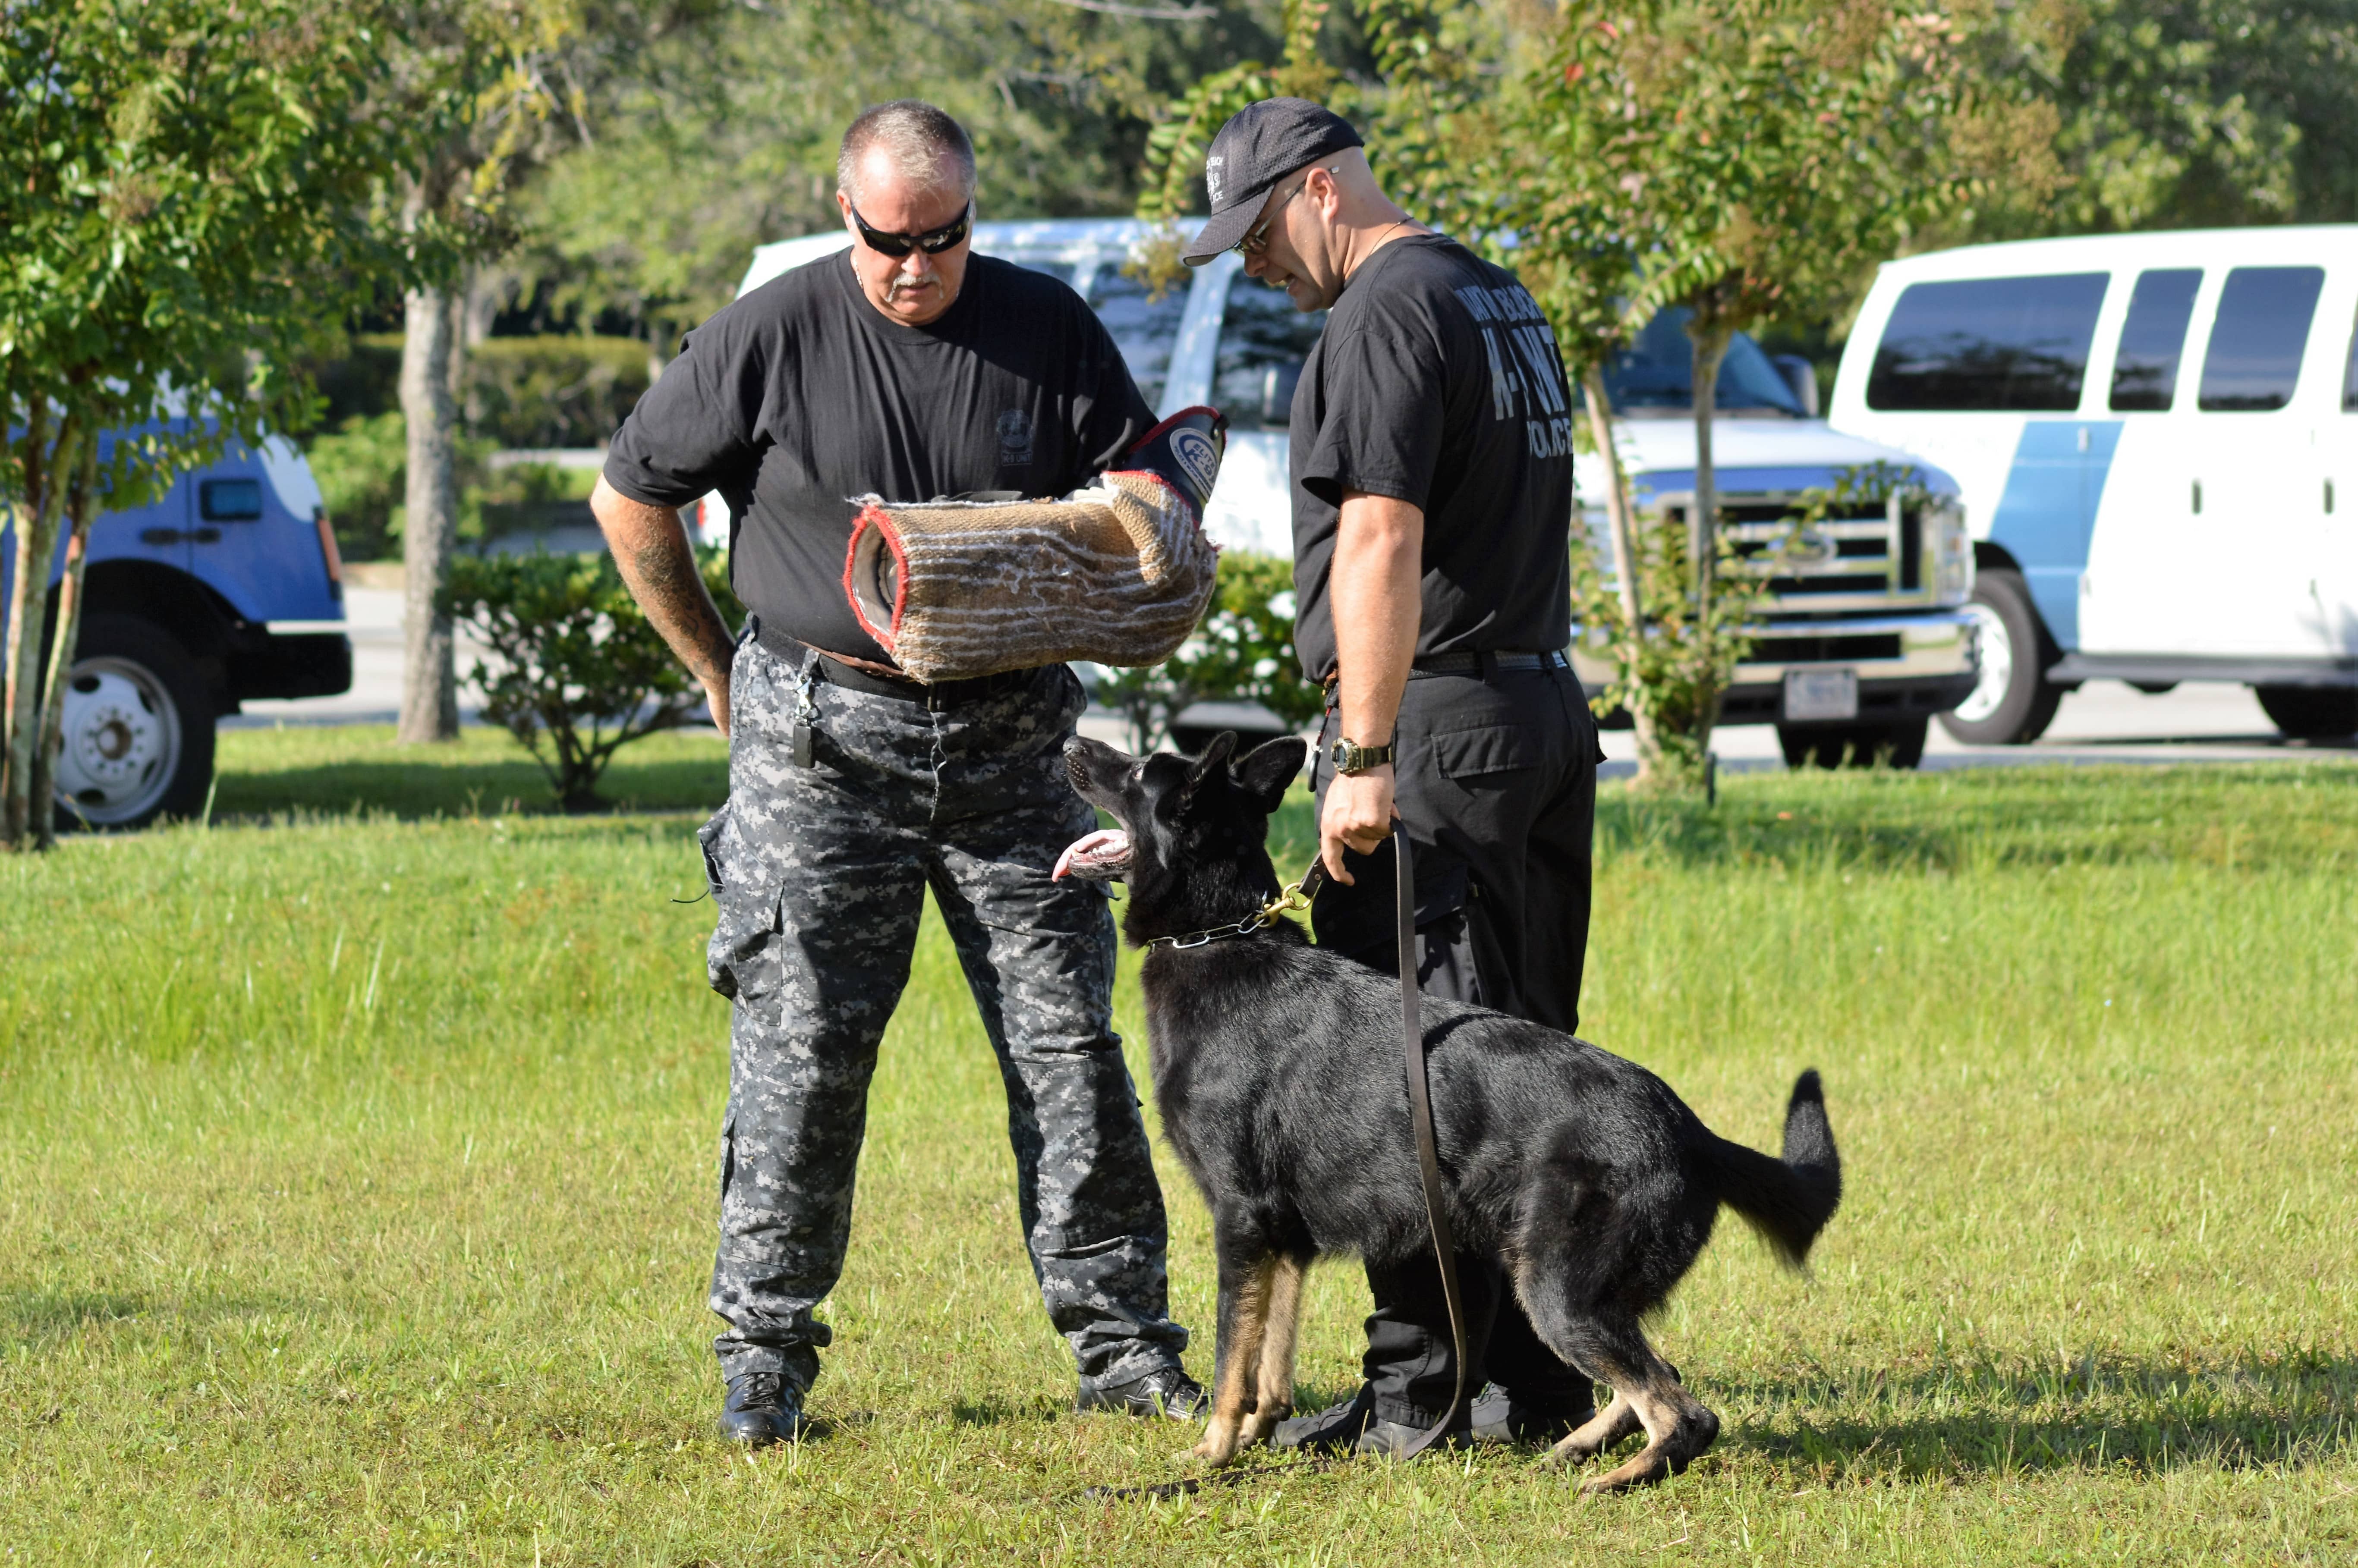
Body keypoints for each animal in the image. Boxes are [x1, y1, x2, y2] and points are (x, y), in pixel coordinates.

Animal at [1061, 726, 1848, 1490]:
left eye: (1138, 771)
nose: (1071, 743)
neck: (1219, 932)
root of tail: (1688, 1128)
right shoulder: (1284, 1239)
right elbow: (1271, 1360)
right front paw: (1259, 1434)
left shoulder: (1241, 1221)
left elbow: (1233, 1356)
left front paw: (1214, 1452)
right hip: (1579, 1296)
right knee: (1654, 1384)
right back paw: (1576, 1448)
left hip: (1558, 1294)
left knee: (1685, 1411)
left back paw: (1614, 1478)